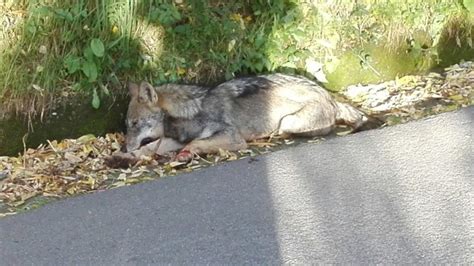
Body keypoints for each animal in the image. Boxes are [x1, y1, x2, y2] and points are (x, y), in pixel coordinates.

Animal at [122, 73, 370, 162]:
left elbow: (196, 143)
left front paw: (187, 154)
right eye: (126, 126)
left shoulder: (232, 137)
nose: (123, 146)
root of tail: (330, 96)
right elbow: (150, 147)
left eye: (135, 124)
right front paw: (123, 157)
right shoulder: (172, 138)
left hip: (287, 122)